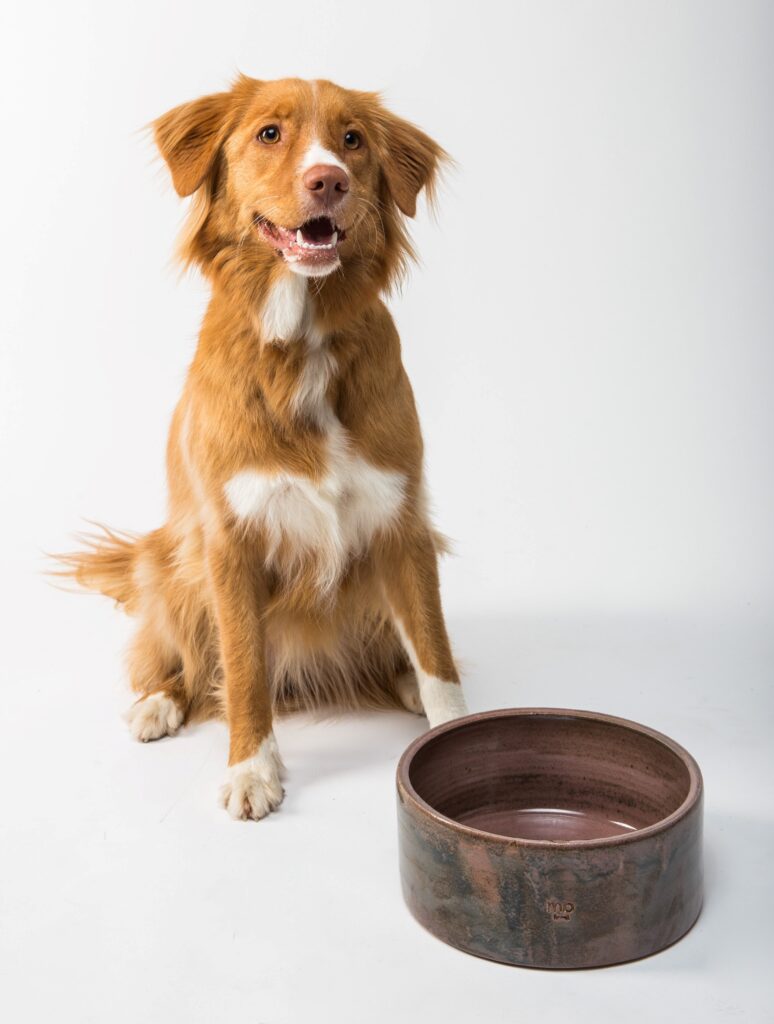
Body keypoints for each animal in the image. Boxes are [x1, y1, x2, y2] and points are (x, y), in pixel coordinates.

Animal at [58, 75, 464, 819]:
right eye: (269, 134)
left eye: (352, 140)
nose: (328, 180)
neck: (302, 341)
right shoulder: (230, 541)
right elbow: (243, 667)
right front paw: (252, 770)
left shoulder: (403, 522)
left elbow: (435, 650)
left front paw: (454, 728)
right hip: (171, 562)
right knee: (185, 660)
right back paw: (158, 703)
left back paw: (400, 685)